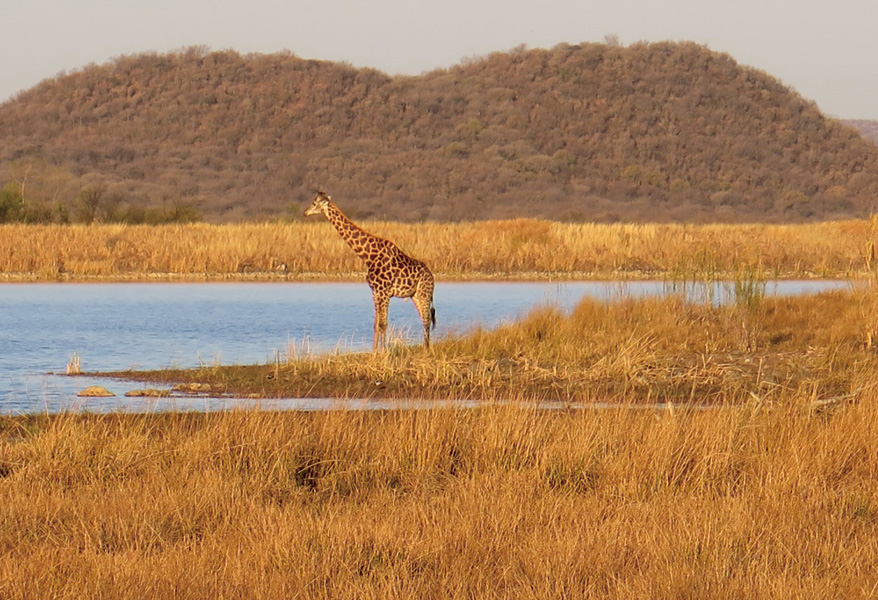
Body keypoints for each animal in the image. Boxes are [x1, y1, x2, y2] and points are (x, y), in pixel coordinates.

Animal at [306, 191, 436, 352]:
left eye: (314, 203)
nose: (305, 212)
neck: (369, 256)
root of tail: (432, 278)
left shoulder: (384, 292)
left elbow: (383, 324)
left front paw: (384, 352)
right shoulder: (375, 292)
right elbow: (376, 324)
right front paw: (374, 352)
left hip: (424, 294)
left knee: (427, 320)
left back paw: (427, 350)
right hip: (415, 296)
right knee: (425, 320)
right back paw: (426, 348)